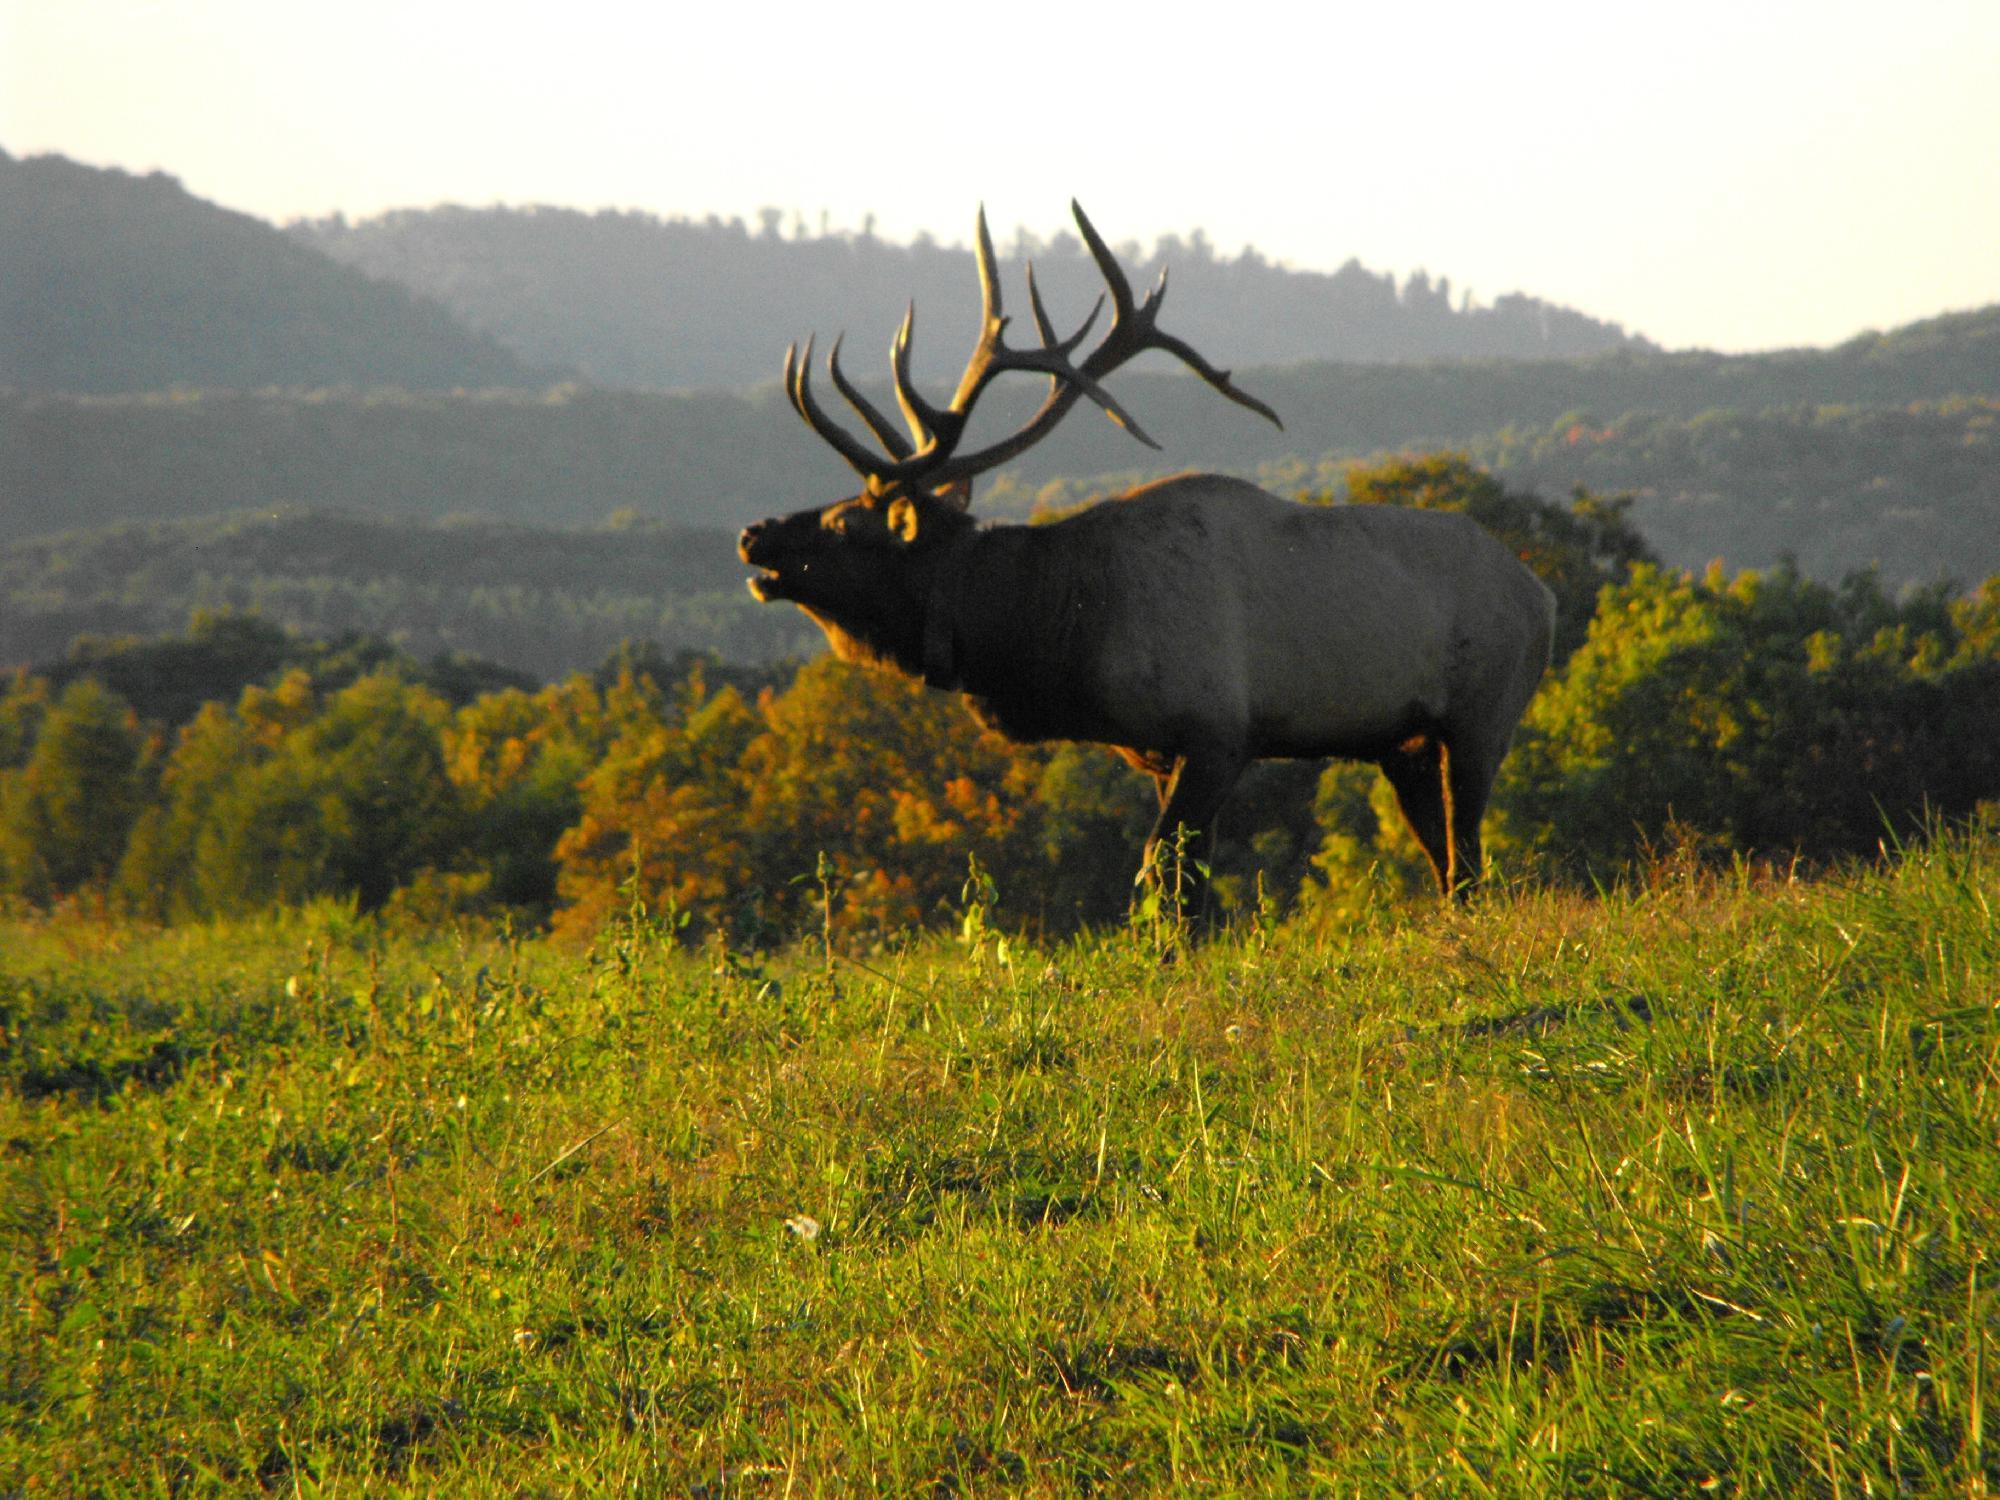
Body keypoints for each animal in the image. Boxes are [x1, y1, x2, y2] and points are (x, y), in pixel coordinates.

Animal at [744, 204, 1552, 912]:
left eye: (848, 523)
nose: (754, 533)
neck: (1065, 625)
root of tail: (1542, 592)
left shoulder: (1219, 732)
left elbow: (1165, 874)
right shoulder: (1158, 753)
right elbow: (1181, 885)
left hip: (1482, 719)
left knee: (1468, 856)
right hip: (1402, 744)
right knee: (1447, 861)